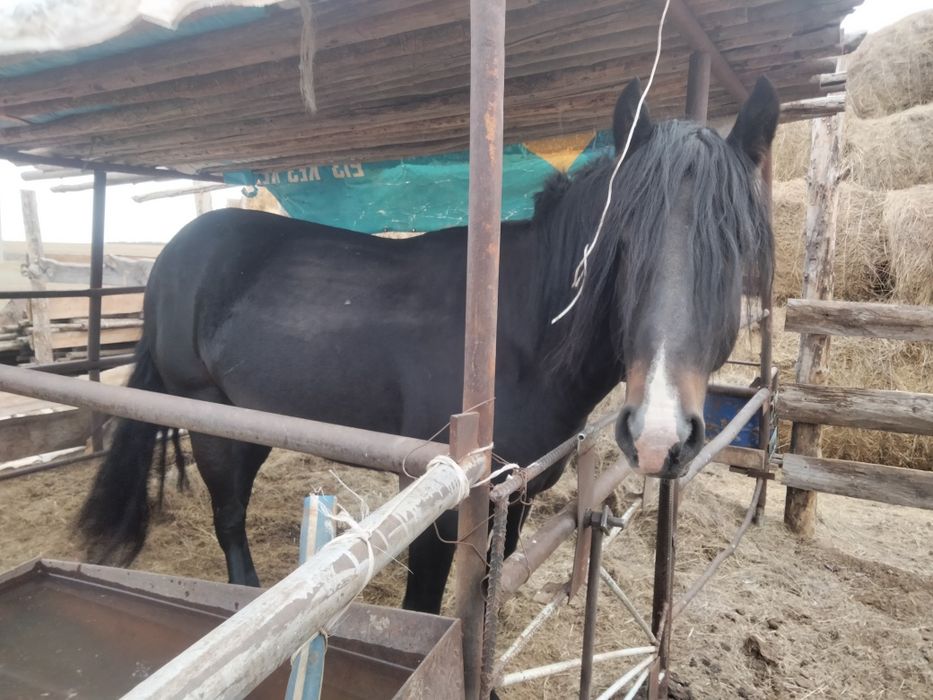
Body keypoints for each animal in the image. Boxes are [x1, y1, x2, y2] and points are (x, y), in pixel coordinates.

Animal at [79, 76, 778, 615]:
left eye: (737, 249)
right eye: (622, 243)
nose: (660, 434)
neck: (516, 335)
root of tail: (174, 253)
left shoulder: (515, 495)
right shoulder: (436, 509)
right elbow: (424, 611)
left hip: (252, 420)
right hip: (211, 422)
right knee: (228, 519)